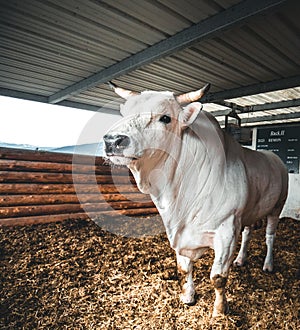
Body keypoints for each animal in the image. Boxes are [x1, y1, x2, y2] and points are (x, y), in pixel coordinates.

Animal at [103, 83, 288, 318]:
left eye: (165, 118)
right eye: (125, 113)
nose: (112, 140)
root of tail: (274, 158)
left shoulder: (226, 232)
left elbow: (217, 277)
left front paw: (219, 311)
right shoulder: (179, 233)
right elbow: (184, 268)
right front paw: (188, 297)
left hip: (277, 207)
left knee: (270, 237)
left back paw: (268, 264)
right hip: (250, 212)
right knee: (247, 234)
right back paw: (240, 259)